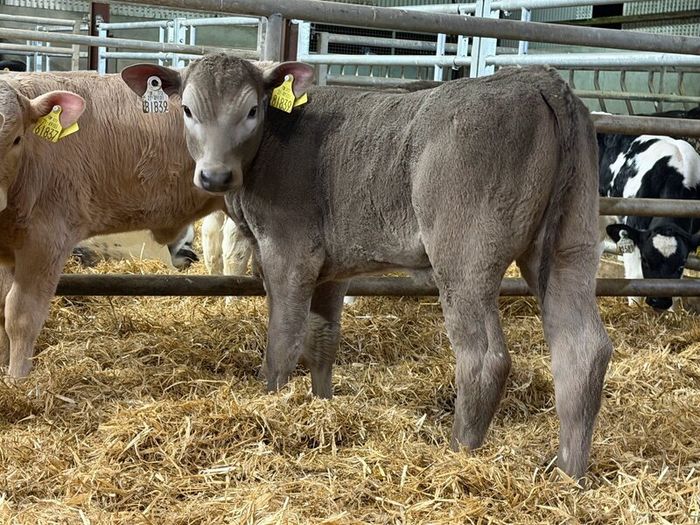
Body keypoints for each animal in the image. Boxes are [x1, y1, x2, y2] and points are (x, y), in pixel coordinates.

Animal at [122, 54, 613, 479]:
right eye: (187, 109)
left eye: (252, 110)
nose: (214, 176)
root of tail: (536, 79)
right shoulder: (331, 270)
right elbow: (322, 340)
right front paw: (321, 406)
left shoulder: (288, 252)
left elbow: (282, 342)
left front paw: (271, 405)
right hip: (571, 244)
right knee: (582, 349)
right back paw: (568, 473)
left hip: (465, 256)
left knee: (484, 357)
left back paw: (459, 453)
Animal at [597, 128, 700, 310]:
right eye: (645, 260)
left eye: (681, 265)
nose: (659, 302)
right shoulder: (632, 228)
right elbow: (636, 275)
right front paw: (634, 308)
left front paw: (671, 311)